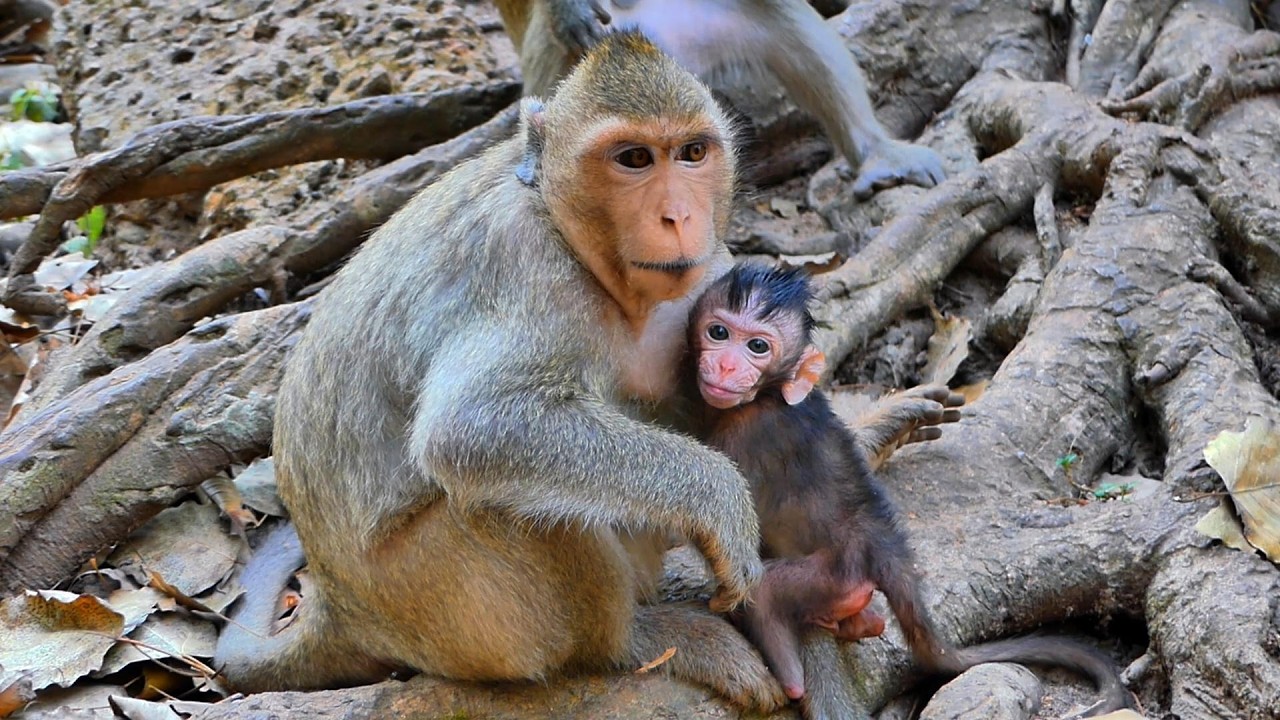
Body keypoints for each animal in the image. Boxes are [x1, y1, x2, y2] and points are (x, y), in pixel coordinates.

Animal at [685, 263, 1130, 713]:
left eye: (758, 346)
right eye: (719, 333)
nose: (726, 367)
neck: (771, 394)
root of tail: (882, 539)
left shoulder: (742, 434)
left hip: (834, 573)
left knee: (766, 591)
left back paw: (786, 671)